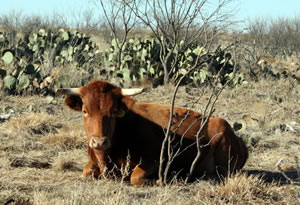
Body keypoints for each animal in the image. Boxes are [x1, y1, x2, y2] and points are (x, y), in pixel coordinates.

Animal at [57, 80, 247, 186]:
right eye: (84, 111)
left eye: (113, 111)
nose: (99, 142)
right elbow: (87, 171)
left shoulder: (155, 161)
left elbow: (135, 177)